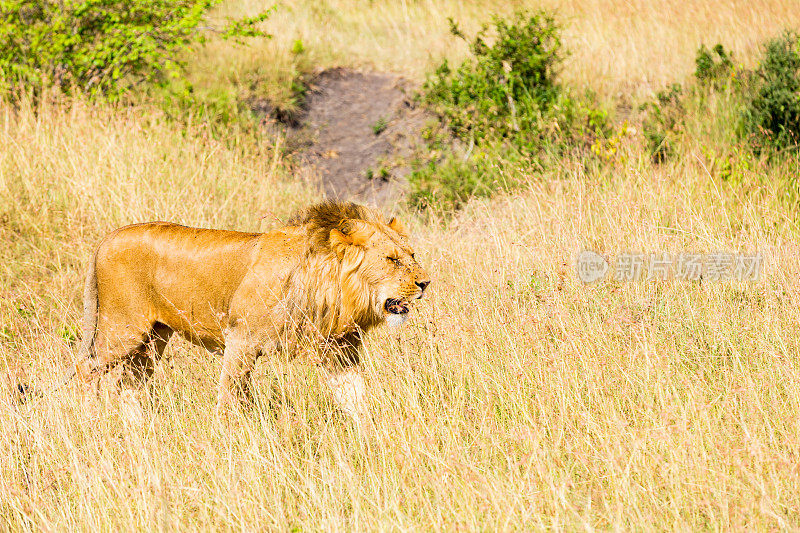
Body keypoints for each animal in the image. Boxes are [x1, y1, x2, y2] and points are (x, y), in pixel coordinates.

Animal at [72, 201, 428, 424]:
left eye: (412, 255)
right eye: (391, 260)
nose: (425, 282)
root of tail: (107, 238)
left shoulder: (339, 351)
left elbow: (356, 396)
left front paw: (371, 435)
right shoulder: (241, 339)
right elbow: (228, 398)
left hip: (154, 336)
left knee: (129, 383)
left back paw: (138, 431)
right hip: (122, 328)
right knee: (85, 369)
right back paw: (88, 424)